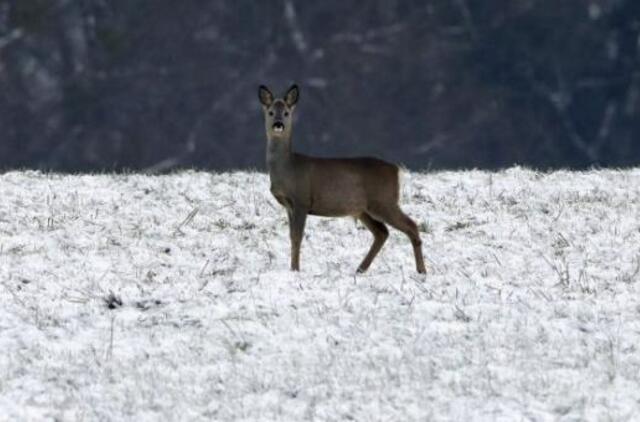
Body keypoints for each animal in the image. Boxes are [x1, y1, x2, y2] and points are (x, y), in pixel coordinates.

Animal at [258, 83, 428, 274]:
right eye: (271, 112)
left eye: (287, 113)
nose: (278, 124)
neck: (288, 168)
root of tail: (396, 170)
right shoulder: (289, 205)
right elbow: (291, 236)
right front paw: (293, 268)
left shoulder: (302, 199)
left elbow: (297, 237)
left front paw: (295, 269)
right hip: (363, 209)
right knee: (382, 232)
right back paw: (360, 269)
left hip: (384, 201)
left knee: (411, 225)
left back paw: (422, 271)